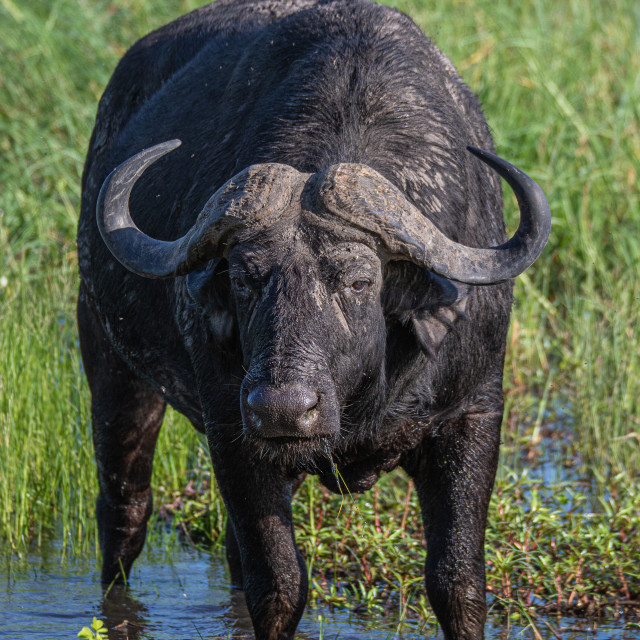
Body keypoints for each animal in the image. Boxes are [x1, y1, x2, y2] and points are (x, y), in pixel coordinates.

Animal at [76, 1, 552, 640]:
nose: (282, 407)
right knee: (124, 512)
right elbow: (279, 585)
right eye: (245, 278)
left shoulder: (472, 415)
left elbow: (458, 583)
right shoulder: (232, 429)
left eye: (359, 280)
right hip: (110, 361)